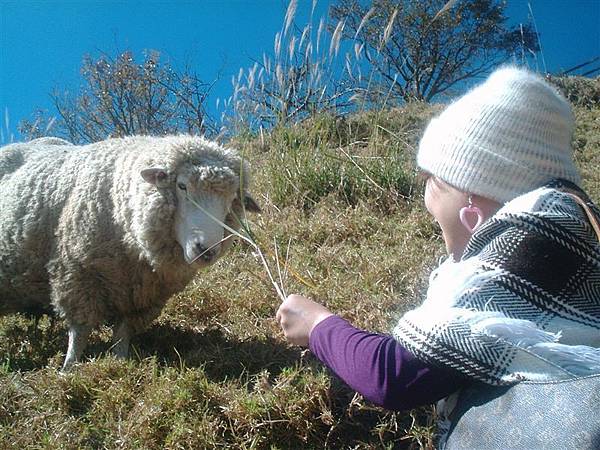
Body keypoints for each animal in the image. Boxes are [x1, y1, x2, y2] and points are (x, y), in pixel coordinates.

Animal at [0, 135, 258, 370]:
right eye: (182, 185)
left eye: (232, 199)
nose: (206, 250)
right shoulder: (76, 276)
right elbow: (79, 333)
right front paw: (68, 369)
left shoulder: (139, 295)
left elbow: (122, 333)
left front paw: (120, 364)